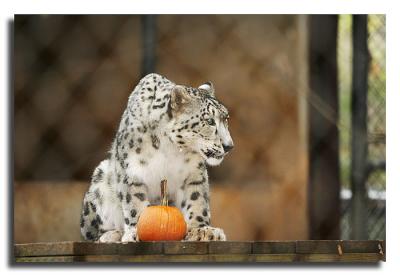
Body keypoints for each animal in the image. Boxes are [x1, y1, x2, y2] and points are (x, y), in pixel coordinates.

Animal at [79, 73, 233, 242]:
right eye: (209, 121)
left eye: (226, 118)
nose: (229, 146)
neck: (170, 148)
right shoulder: (132, 171)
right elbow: (134, 201)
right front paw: (136, 232)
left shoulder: (194, 173)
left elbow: (197, 199)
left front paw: (202, 230)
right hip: (100, 180)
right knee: (90, 233)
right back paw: (111, 235)